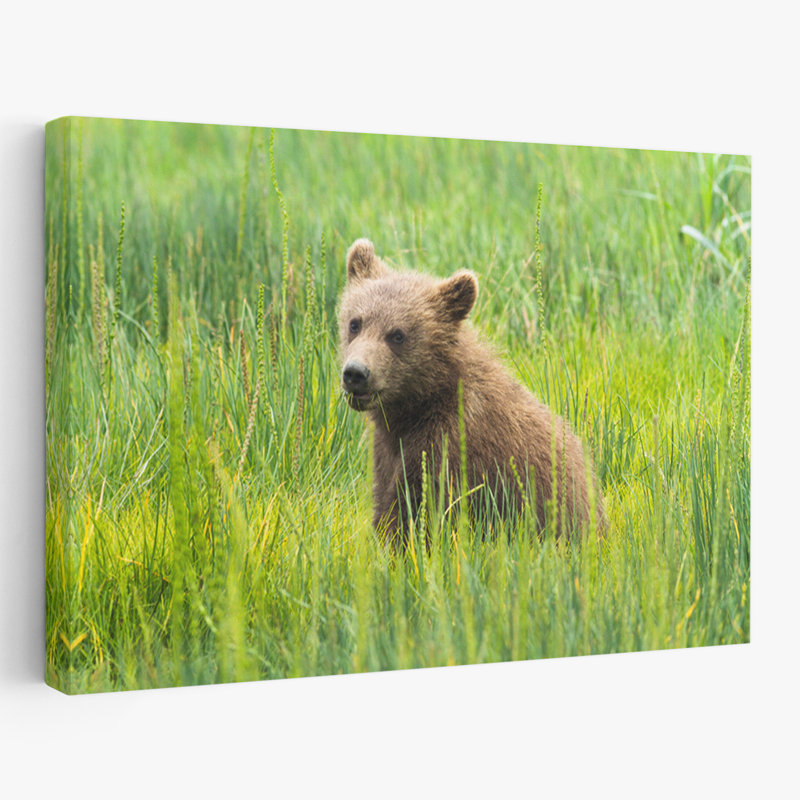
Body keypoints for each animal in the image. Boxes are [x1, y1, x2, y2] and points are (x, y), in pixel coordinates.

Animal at [339, 238, 604, 545]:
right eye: (355, 323)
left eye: (397, 335)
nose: (356, 373)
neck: (418, 406)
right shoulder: (386, 451)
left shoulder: (450, 448)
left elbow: (420, 512)